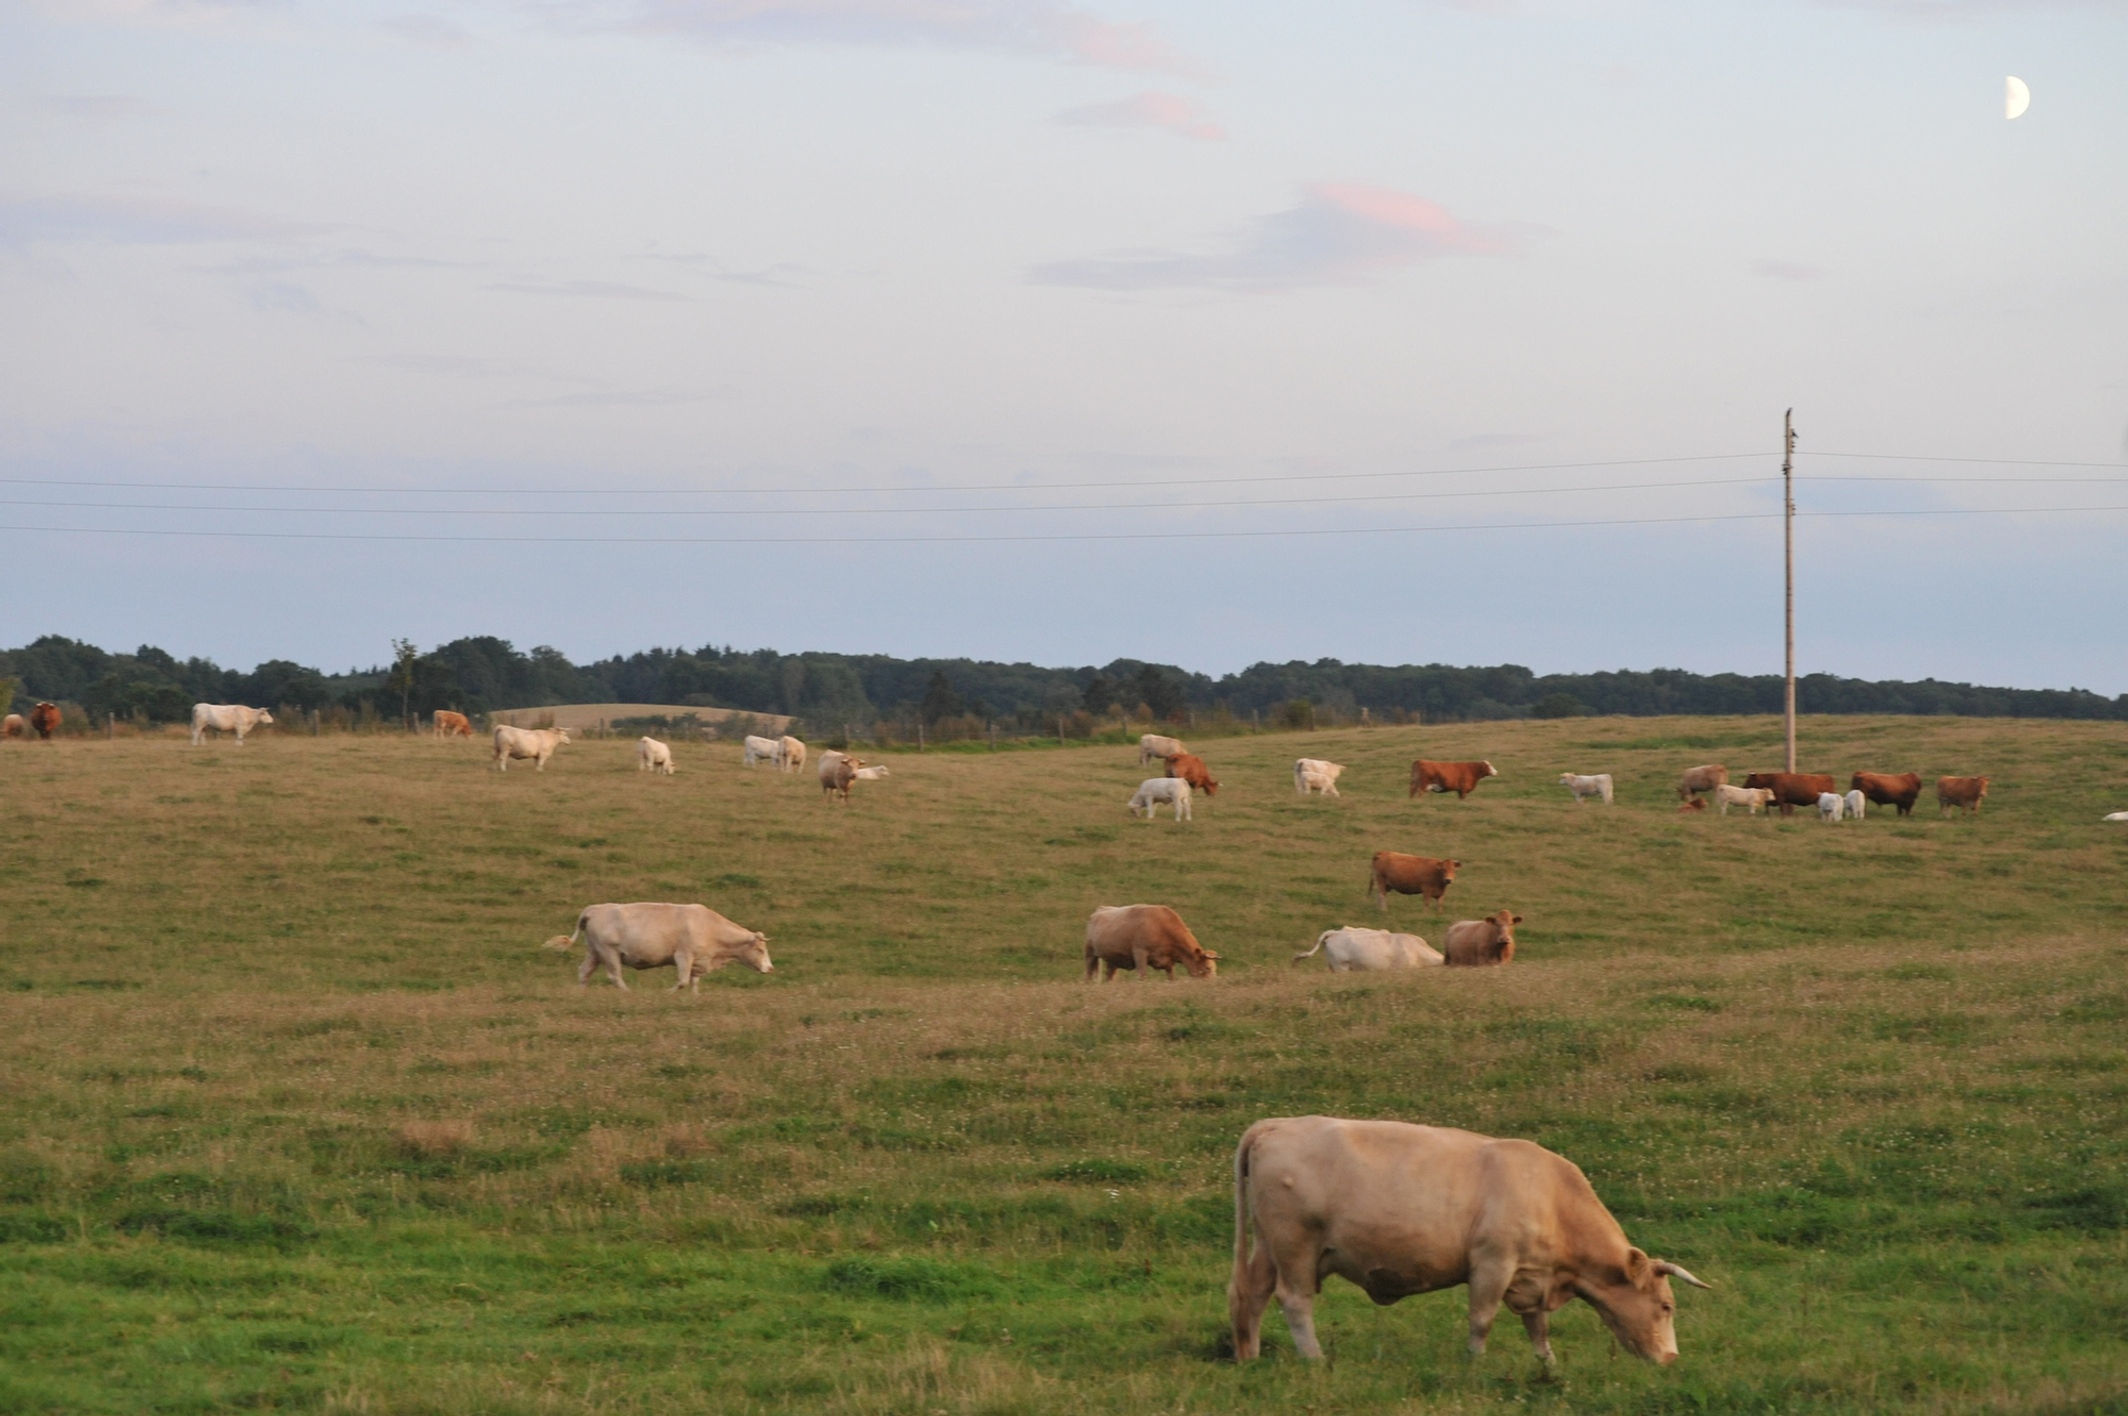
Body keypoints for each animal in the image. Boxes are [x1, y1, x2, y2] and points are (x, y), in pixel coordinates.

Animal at [544, 902, 773, 990]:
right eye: (760, 950)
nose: (770, 968)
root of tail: (593, 909)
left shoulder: (698, 960)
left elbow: (694, 983)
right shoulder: (683, 956)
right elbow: (682, 981)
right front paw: (668, 994)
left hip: (594, 952)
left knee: (584, 972)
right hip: (609, 952)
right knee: (615, 977)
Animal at [1083, 904, 1218, 981]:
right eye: (1207, 968)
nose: (1213, 985)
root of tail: (1100, 909)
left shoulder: (1169, 962)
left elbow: (1171, 978)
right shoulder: (1140, 953)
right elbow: (1142, 976)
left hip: (1113, 959)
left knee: (1109, 977)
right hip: (1090, 953)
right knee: (1088, 973)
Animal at [1228, 1116, 1711, 1368]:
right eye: (1666, 1306)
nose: (1672, 1358)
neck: (1552, 1198)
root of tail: (1277, 1125)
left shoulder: (1532, 1276)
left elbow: (1537, 1326)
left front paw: (1548, 1367)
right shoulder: (1493, 1263)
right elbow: (1482, 1319)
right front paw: (1474, 1363)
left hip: (1268, 1246)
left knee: (1252, 1296)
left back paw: (1250, 1357)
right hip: (1295, 1245)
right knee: (1294, 1301)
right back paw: (1314, 1359)